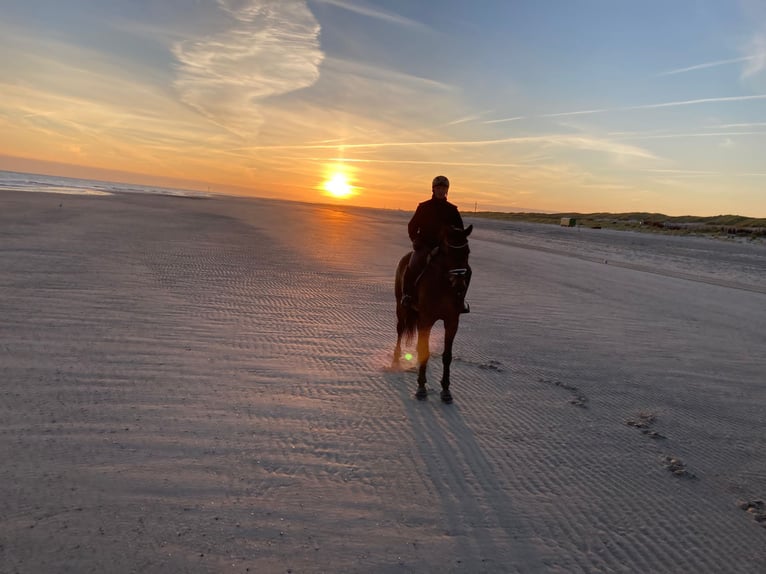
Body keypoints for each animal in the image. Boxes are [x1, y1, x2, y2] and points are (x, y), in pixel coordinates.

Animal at [396, 223, 474, 402]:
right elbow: (423, 347)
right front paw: (421, 387)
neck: (444, 286)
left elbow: (447, 355)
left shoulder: (452, 322)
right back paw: (396, 358)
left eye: (467, 252)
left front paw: (446, 390)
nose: (459, 286)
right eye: (447, 252)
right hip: (401, 308)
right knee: (400, 329)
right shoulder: (426, 320)